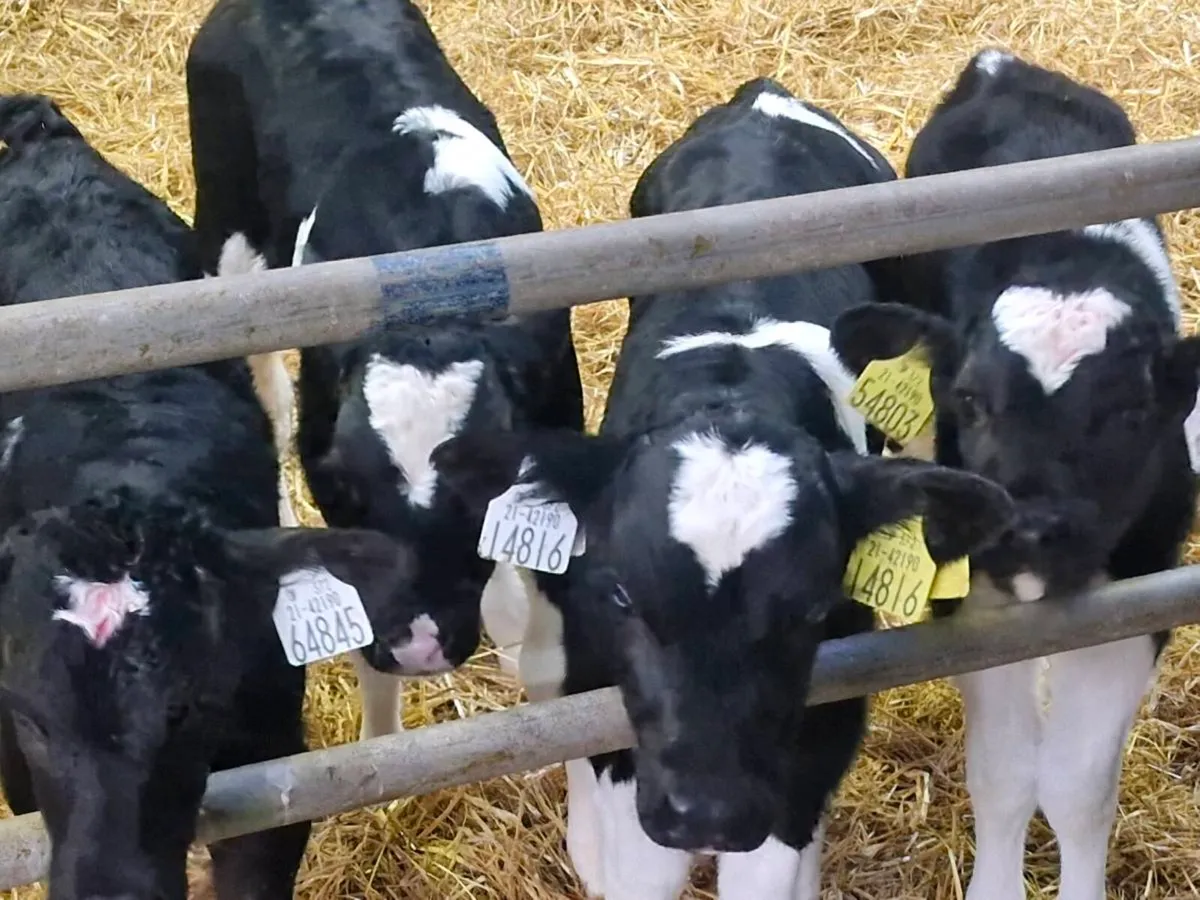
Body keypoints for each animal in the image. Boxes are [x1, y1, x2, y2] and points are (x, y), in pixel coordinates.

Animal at [427, 78, 1015, 899]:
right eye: (621, 594)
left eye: (811, 607)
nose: (706, 812)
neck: (729, 387)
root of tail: (765, 97)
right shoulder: (612, 724)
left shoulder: (816, 737)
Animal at [829, 50, 1200, 900]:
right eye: (969, 396)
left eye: (1132, 411)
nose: (1028, 525)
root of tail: (1006, 65)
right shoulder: (969, 596)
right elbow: (1003, 776)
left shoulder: (1140, 596)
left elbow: (1074, 786)